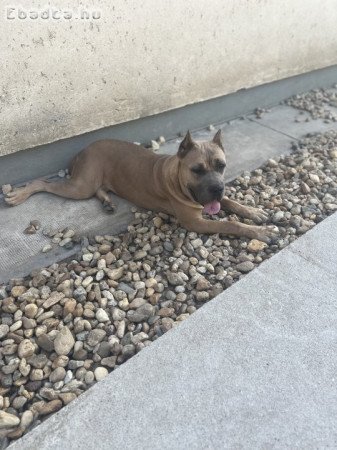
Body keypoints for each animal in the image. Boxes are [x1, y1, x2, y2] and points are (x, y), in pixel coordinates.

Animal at [4, 130, 278, 243]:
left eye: (222, 165)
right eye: (197, 170)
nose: (216, 189)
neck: (177, 176)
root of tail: (82, 150)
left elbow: (231, 203)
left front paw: (253, 212)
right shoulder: (195, 222)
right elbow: (230, 223)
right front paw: (258, 231)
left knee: (101, 190)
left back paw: (108, 203)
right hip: (80, 186)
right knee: (43, 183)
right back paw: (18, 195)